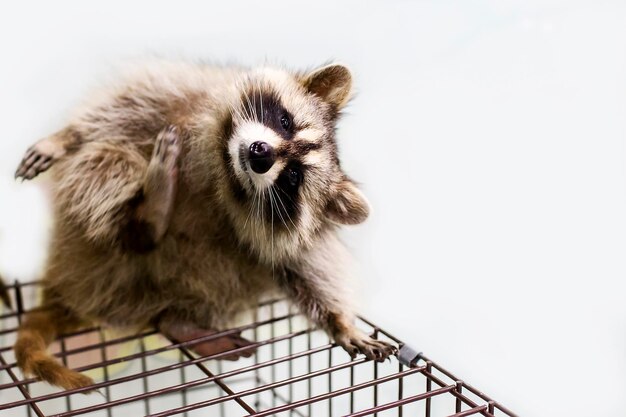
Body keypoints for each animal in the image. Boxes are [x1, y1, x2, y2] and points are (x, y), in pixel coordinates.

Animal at [12, 61, 394, 390]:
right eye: (285, 122)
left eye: (293, 178)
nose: (260, 152)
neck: (226, 174)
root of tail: (63, 287)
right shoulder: (181, 98)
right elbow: (115, 111)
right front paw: (64, 137)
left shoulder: (287, 237)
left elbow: (305, 270)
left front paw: (340, 322)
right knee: (106, 162)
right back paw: (144, 219)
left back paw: (171, 303)